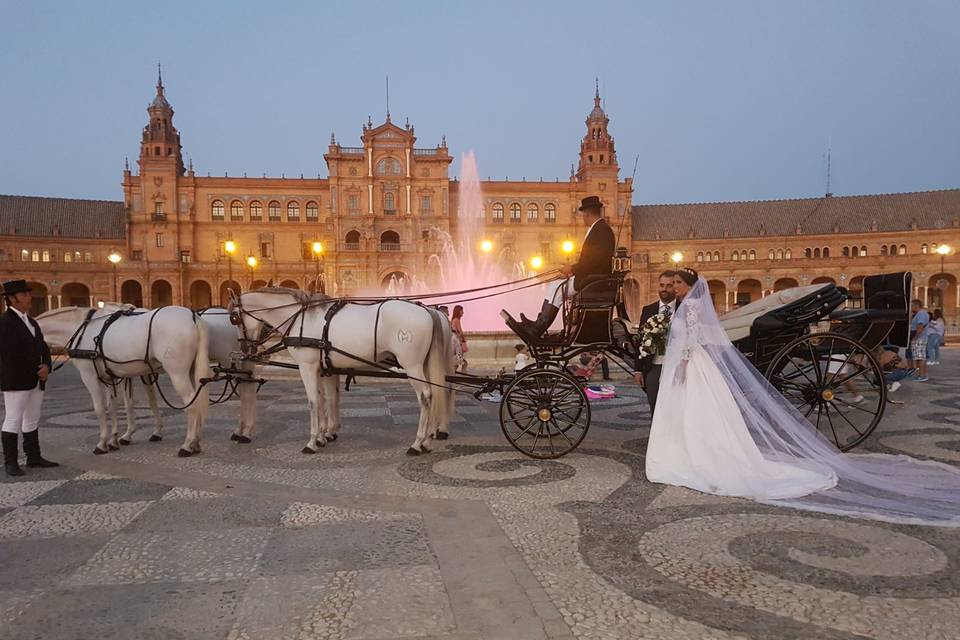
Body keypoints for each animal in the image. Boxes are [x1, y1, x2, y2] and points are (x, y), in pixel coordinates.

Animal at [39, 304, 210, 456]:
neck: (82, 330)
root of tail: (192, 316)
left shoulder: (89, 376)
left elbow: (100, 409)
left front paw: (102, 443)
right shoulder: (109, 377)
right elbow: (113, 406)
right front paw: (113, 440)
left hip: (177, 373)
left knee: (191, 403)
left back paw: (187, 444)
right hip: (190, 371)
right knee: (198, 399)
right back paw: (196, 443)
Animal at [234, 290, 456, 456]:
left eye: (235, 319)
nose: (245, 348)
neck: (299, 317)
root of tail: (426, 310)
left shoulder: (307, 366)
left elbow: (313, 402)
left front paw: (312, 441)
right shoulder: (324, 369)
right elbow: (327, 400)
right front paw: (324, 436)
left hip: (412, 366)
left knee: (425, 396)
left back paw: (417, 443)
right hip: (424, 365)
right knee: (435, 394)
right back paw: (427, 440)